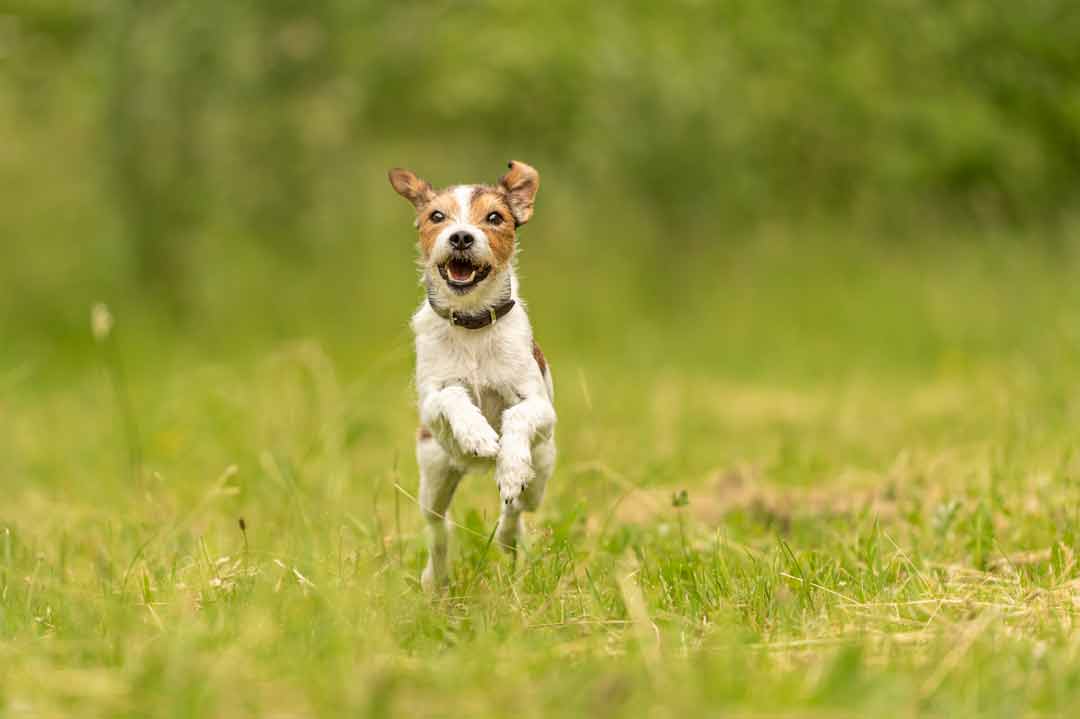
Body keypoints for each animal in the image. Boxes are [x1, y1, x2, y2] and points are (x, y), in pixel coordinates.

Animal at [388, 160, 557, 587]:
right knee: (438, 527)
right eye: (436, 216)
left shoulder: (541, 407)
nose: (461, 236)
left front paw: (508, 462)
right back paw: (435, 578)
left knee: (515, 509)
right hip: (433, 473)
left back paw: (509, 533)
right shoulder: (430, 403)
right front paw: (477, 434)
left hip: (541, 474)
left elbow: (519, 415)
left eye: (494, 218)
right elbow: (452, 395)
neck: (472, 325)